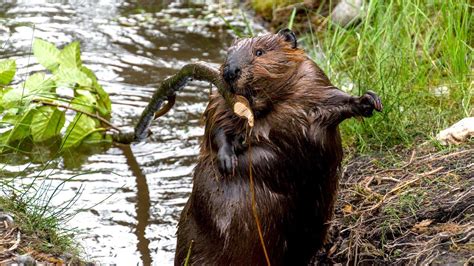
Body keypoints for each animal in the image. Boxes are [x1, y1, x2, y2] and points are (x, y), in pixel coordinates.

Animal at [174, 28, 382, 264]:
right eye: (227, 54)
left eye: (259, 51)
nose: (229, 71)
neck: (272, 106)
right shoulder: (220, 98)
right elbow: (217, 121)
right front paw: (227, 161)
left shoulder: (312, 82)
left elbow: (335, 99)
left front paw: (369, 100)